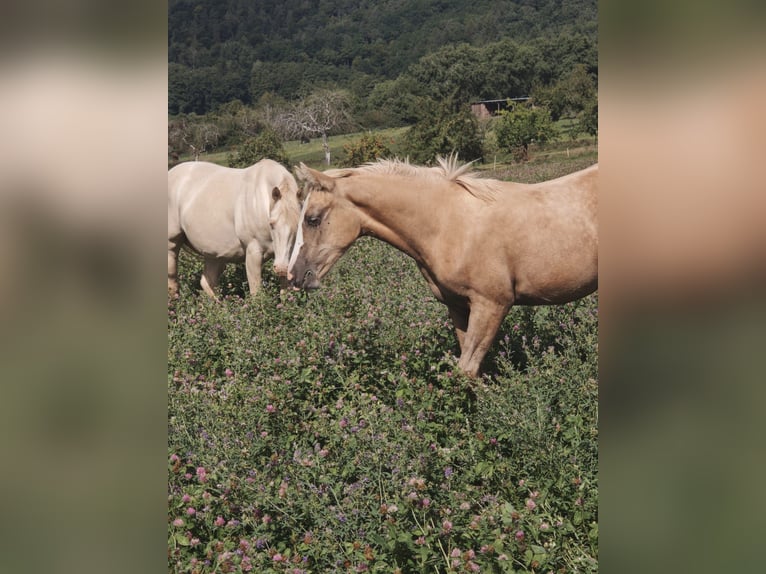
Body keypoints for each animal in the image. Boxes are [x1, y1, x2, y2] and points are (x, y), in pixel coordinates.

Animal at [168, 159, 304, 299]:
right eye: (271, 224)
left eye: (299, 225)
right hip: (172, 244)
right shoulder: (253, 253)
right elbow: (256, 293)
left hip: (214, 254)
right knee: (172, 280)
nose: (282, 268)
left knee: (207, 282)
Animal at [288, 156, 598, 377]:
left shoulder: (492, 304)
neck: (449, 224)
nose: (296, 276)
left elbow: (466, 370)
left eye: (313, 218)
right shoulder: (459, 306)